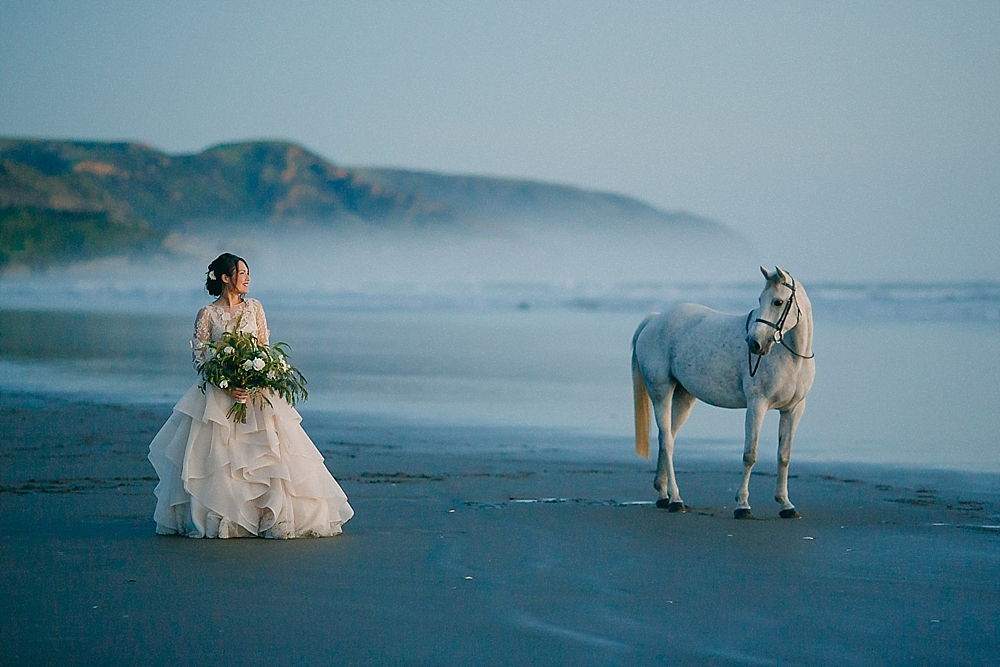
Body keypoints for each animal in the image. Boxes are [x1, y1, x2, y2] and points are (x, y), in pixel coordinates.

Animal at [636, 268, 816, 520]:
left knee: (667, 437)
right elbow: (750, 455)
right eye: (760, 299)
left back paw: (663, 495)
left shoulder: (793, 410)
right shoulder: (757, 405)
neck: (792, 357)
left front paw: (786, 505)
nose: (754, 343)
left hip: (684, 397)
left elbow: (784, 455)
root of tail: (654, 320)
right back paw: (676, 500)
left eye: (778, 302)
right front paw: (742, 505)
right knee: (667, 443)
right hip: (660, 393)